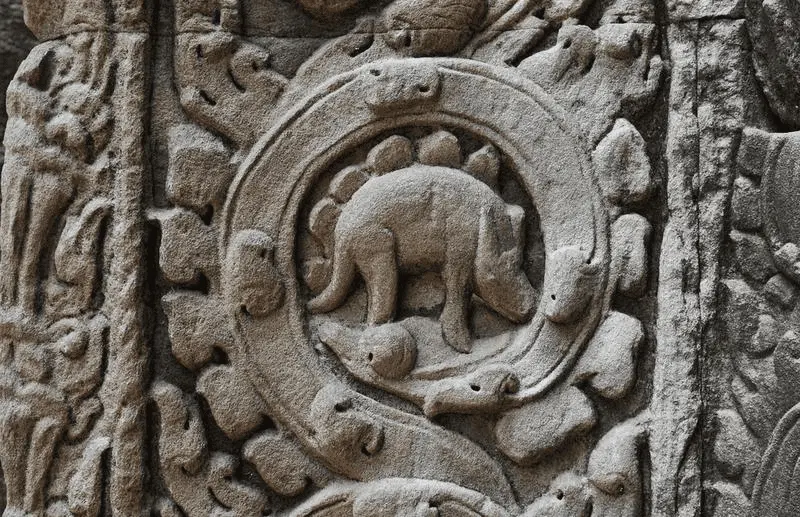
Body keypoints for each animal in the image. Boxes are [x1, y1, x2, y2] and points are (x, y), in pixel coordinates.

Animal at [307, 164, 536, 352]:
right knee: (379, 299)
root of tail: (341, 234)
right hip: (375, 245)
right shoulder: (459, 251)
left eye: (520, 265)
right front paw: (462, 346)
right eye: (492, 278)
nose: (530, 308)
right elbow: (457, 290)